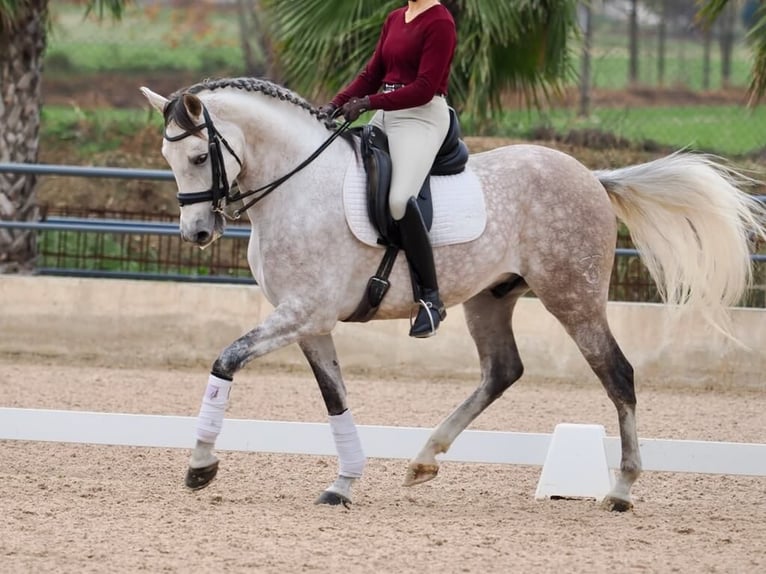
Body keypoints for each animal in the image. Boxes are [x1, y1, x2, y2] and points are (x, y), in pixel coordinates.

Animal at [140, 77, 766, 512]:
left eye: (199, 156)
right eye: (168, 159)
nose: (197, 235)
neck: (296, 186)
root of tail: (592, 175)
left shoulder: (302, 313)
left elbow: (225, 360)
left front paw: (201, 466)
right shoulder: (310, 323)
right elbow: (335, 399)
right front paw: (344, 484)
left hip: (573, 296)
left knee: (617, 374)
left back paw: (621, 490)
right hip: (491, 298)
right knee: (503, 370)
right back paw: (423, 460)